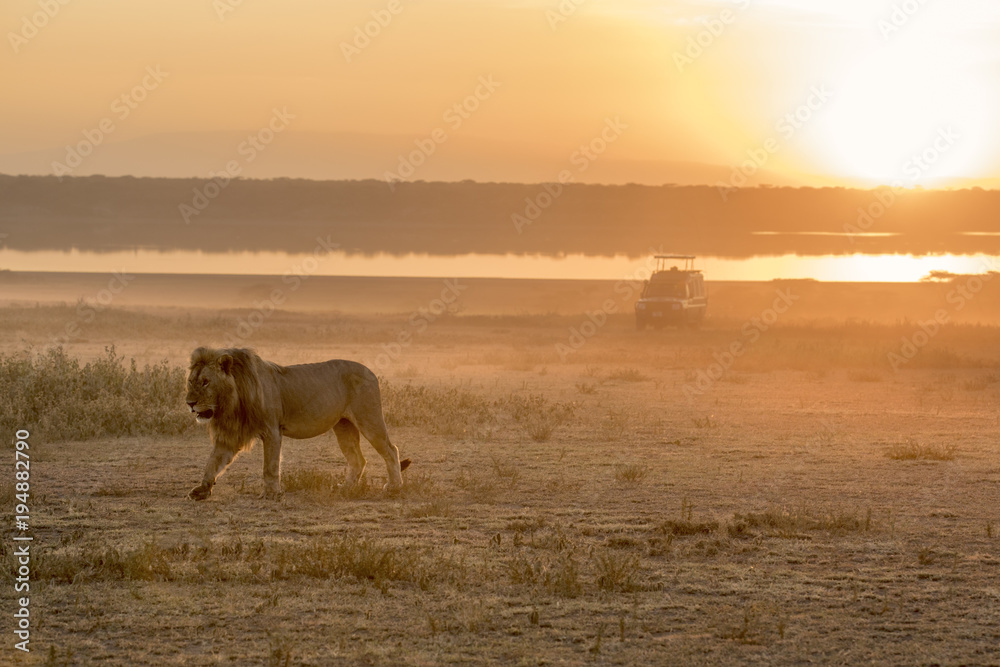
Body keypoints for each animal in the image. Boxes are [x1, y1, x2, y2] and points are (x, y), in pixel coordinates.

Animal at [184, 347, 410, 501]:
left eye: (206, 382)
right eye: (191, 381)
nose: (190, 403)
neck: (232, 401)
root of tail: (370, 371)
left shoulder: (272, 430)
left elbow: (270, 466)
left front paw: (271, 493)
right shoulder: (231, 435)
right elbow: (213, 462)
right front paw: (202, 489)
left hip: (368, 419)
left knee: (391, 450)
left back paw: (394, 487)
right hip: (344, 426)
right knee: (358, 460)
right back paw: (345, 488)